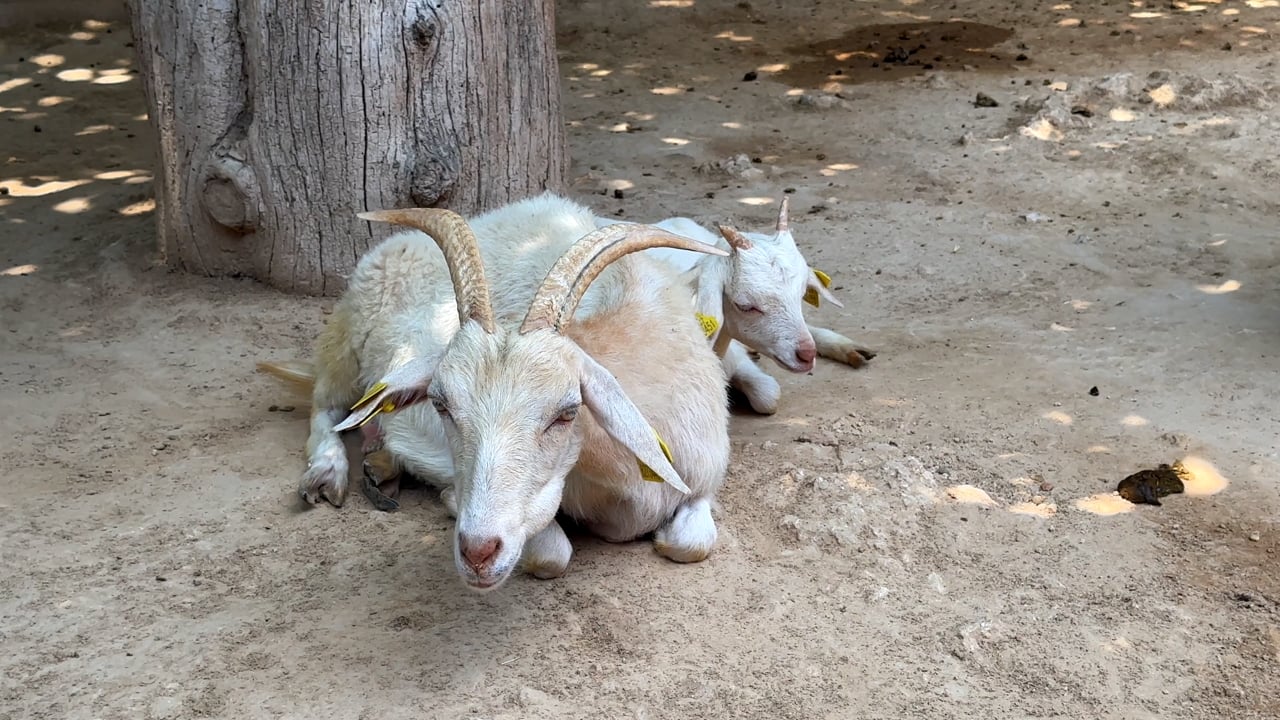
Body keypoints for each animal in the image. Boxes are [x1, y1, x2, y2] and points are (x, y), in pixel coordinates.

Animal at [257, 193, 733, 591]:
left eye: (566, 412)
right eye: (441, 404)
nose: (477, 553)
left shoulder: (704, 477)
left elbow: (694, 543)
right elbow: (551, 556)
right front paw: (449, 497)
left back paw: (383, 460)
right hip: (345, 340)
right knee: (326, 407)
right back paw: (328, 472)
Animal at [593, 197, 875, 415]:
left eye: (802, 294)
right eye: (745, 305)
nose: (806, 355)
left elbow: (768, 395)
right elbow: (766, 395)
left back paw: (851, 349)